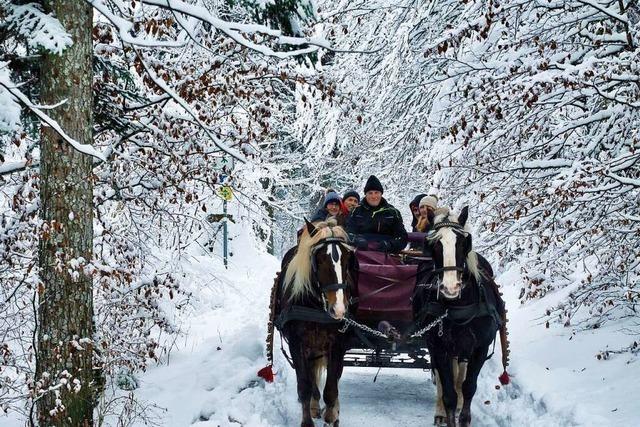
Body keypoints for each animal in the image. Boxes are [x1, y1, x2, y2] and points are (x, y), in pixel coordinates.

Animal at [276, 221, 358, 427]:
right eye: (319, 260)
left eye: (347, 260)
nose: (339, 310)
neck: (315, 305)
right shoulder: (297, 344)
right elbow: (304, 385)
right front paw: (307, 421)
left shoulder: (337, 344)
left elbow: (331, 387)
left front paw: (331, 416)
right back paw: (314, 406)